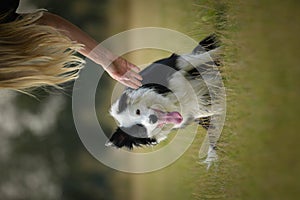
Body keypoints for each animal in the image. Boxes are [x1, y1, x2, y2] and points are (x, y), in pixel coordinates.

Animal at [106, 34, 224, 162]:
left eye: (137, 111)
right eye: (140, 129)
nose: (152, 119)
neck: (171, 102)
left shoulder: (177, 63)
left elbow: (209, 55)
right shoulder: (193, 109)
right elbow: (213, 110)